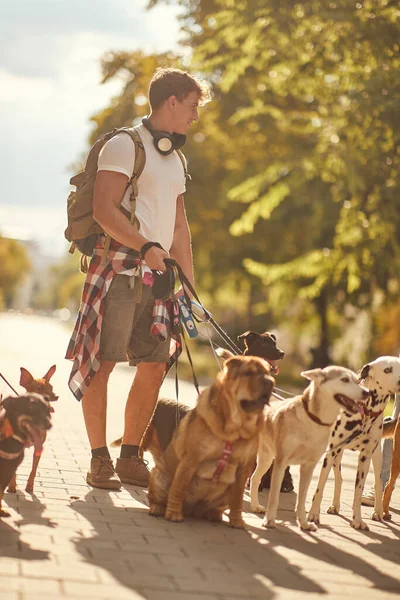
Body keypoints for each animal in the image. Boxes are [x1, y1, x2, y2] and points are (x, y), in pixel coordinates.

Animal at [250, 366, 368, 528]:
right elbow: (274, 497)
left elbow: (302, 499)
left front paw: (304, 524)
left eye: (357, 381)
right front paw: (269, 520)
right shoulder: (281, 462)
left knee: (255, 478)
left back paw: (255, 506)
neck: (312, 421)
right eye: (344, 379)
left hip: (266, 459)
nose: (367, 392)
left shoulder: (308, 466)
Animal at [310, 356, 400, 528]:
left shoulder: (365, 459)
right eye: (387, 369)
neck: (366, 412)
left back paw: (379, 512)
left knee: (379, 483)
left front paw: (357, 520)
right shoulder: (331, 453)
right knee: (339, 478)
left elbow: (358, 493)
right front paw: (313, 514)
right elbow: (319, 487)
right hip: (336, 455)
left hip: (376, 457)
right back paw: (335, 505)